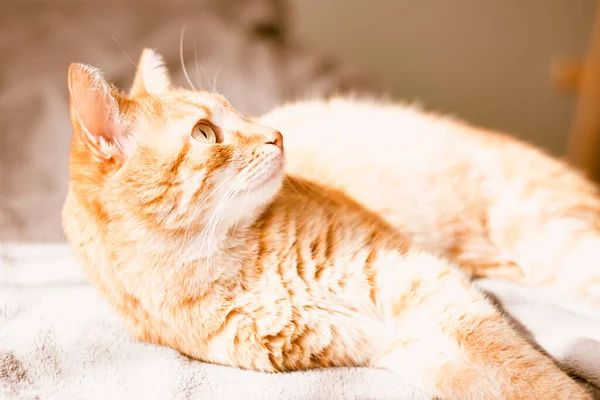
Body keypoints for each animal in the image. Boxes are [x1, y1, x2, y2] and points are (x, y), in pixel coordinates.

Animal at [63, 50, 592, 400]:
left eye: (239, 112)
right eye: (205, 133)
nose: (276, 135)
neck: (234, 269)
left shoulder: (426, 283)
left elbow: (524, 370)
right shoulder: (384, 342)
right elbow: (477, 383)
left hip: (554, 238)